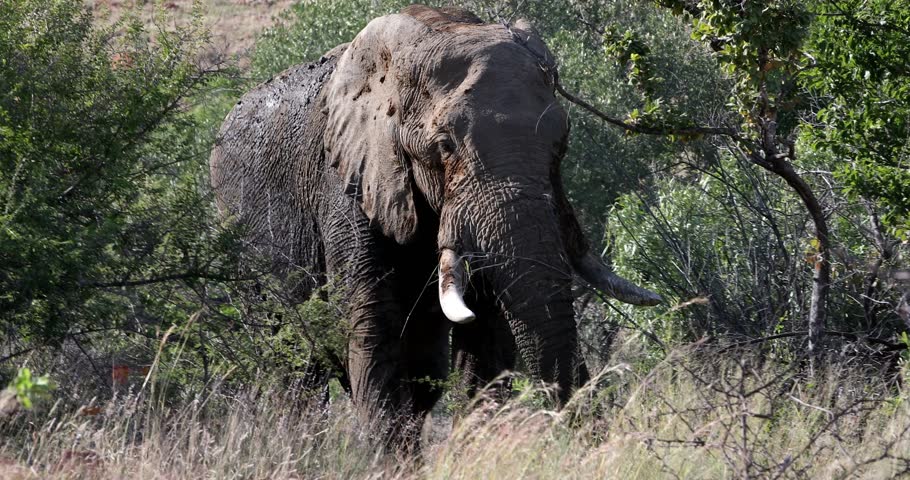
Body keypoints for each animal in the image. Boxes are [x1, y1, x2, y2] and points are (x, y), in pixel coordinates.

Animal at [210, 5, 661, 437]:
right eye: (445, 145)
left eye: (561, 144)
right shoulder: (345, 181)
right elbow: (372, 323)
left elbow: (486, 332)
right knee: (296, 371)